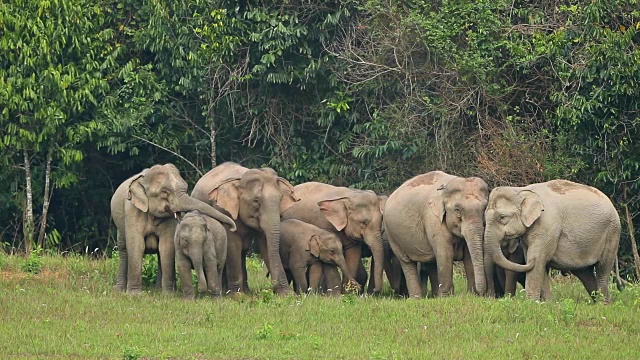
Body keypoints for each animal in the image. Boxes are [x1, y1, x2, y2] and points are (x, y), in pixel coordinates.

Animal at [111, 165, 236, 294]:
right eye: (164, 192)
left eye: (186, 188)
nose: (233, 227)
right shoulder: (132, 210)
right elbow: (136, 245)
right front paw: (134, 295)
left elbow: (166, 247)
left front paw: (168, 294)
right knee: (123, 250)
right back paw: (119, 290)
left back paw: (159, 290)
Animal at [191, 163, 298, 296]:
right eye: (256, 201)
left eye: (280, 199)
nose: (274, 287)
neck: (240, 179)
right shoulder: (224, 211)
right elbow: (233, 245)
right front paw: (237, 296)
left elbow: (265, 244)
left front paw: (286, 295)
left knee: (242, 252)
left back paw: (244, 291)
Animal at [484, 179, 620, 300]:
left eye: (502, 217)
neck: (521, 190)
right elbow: (539, 263)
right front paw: (549, 304)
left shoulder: (547, 225)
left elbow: (539, 259)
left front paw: (531, 303)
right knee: (585, 273)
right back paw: (601, 303)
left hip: (612, 233)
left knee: (602, 269)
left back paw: (604, 304)